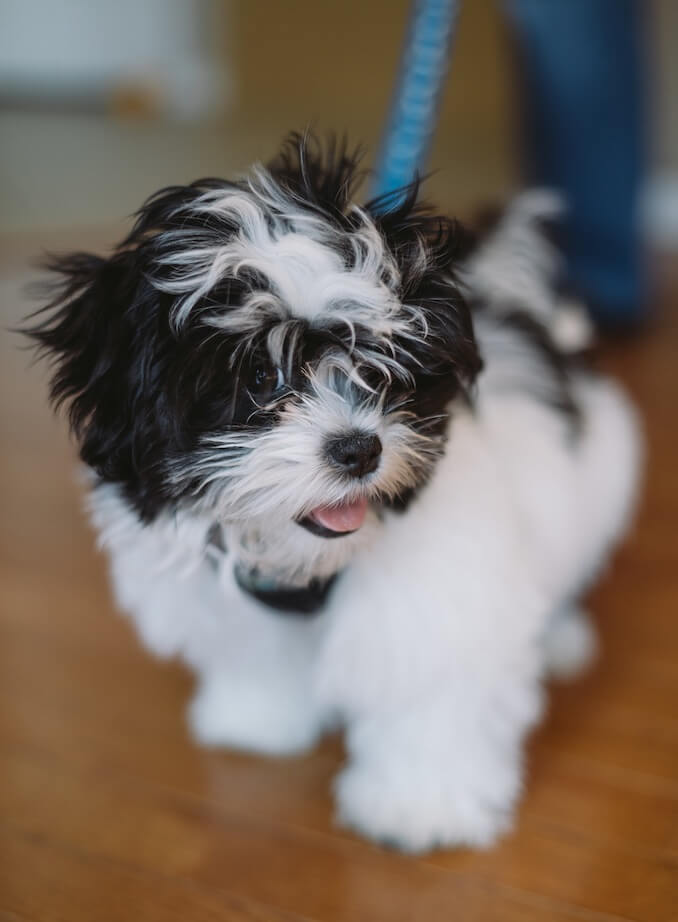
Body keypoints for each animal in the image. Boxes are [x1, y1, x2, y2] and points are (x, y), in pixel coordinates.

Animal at [27, 135, 644, 848]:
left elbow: (430, 697)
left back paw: (563, 637)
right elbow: (259, 660)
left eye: (383, 368)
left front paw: (418, 805)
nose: (358, 448)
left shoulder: (439, 607)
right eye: (260, 376)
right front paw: (256, 720)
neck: (308, 566)